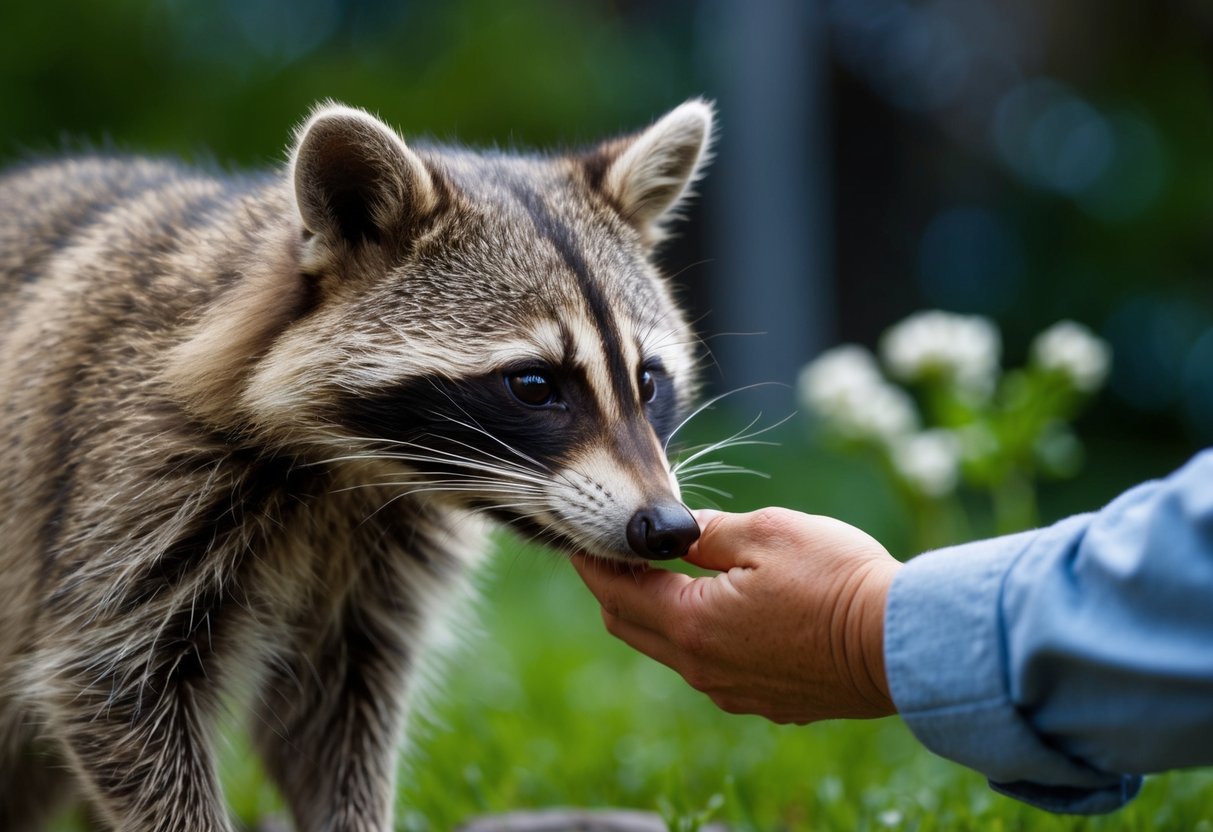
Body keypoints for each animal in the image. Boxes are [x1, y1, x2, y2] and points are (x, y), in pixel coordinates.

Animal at [0, 100, 713, 831]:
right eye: (534, 385)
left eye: (647, 381)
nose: (667, 527)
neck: (353, 473)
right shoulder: (130, 476)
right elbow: (112, 686)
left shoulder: (376, 575)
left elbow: (330, 718)